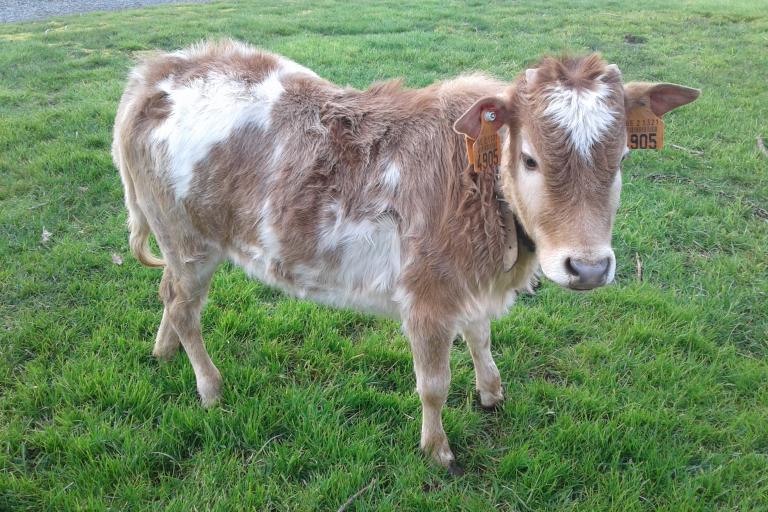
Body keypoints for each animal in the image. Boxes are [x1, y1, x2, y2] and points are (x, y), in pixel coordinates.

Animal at [112, 38, 696, 474]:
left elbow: (481, 337)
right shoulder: (427, 300)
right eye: (529, 159)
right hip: (189, 240)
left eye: (622, 158)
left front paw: (491, 392)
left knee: (168, 295)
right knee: (184, 306)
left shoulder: (469, 287)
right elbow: (434, 385)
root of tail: (158, 70)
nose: (588, 267)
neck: (477, 184)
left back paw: (162, 352)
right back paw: (209, 388)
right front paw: (437, 450)